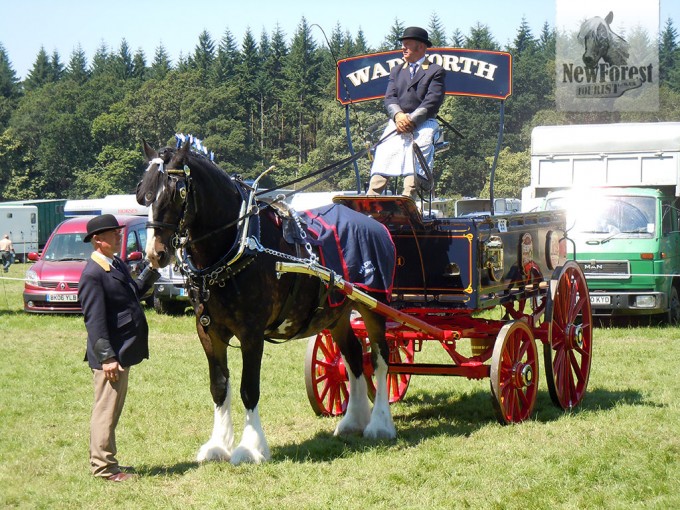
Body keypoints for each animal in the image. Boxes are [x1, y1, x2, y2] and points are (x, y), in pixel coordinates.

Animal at [135, 141, 396, 464]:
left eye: (178, 192)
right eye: (143, 194)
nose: (154, 254)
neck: (236, 244)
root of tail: (376, 225)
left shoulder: (251, 332)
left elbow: (249, 388)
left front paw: (250, 447)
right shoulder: (208, 332)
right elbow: (219, 386)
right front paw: (218, 445)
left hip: (374, 307)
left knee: (380, 360)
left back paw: (380, 425)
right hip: (337, 314)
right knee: (353, 357)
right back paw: (352, 421)